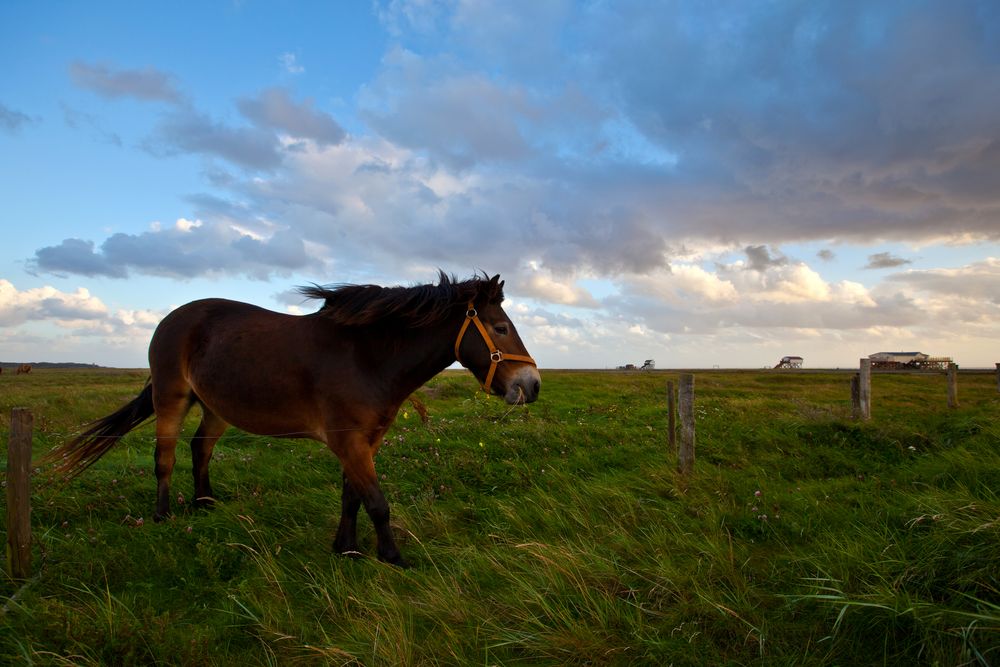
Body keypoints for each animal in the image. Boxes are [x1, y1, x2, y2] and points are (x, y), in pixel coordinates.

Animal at [47, 274, 540, 568]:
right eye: (500, 328)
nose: (531, 385)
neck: (366, 358)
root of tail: (173, 318)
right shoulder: (349, 441)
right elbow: (377, 501)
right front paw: (392, 557)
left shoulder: (366, 440)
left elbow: (352, 497)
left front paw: (347, 549)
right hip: (172, 397)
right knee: (164, 456)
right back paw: (163, 515)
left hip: (216, 406)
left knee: (200, 447)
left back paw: (204, 503)